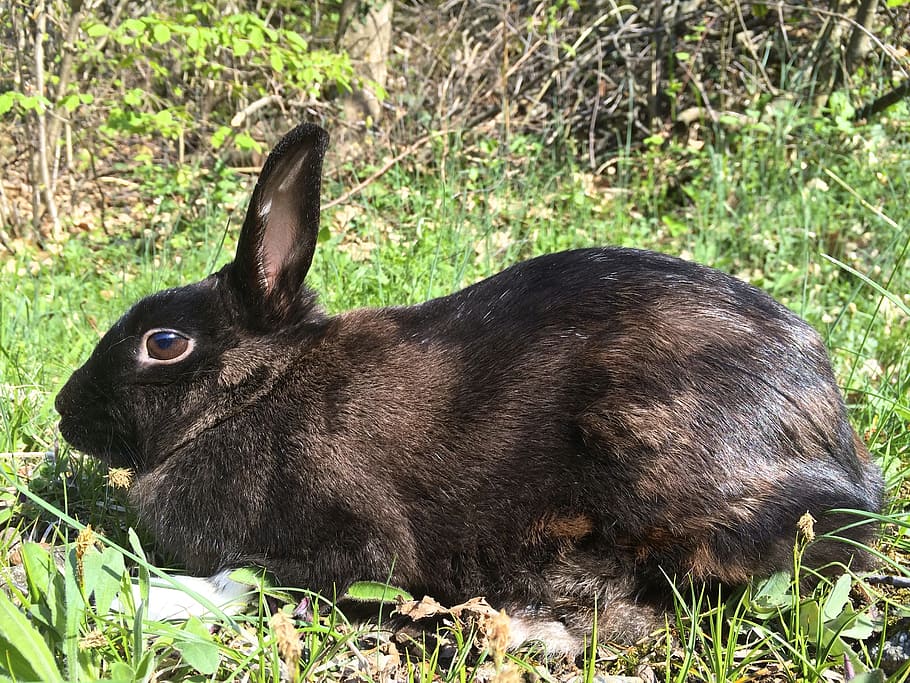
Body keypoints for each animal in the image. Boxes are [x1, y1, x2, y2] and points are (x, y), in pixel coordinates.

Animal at [56, 122, 884, 654]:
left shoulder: (351, 540)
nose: (65, 413)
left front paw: (140, 594)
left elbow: (242, 578)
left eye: (164, 343)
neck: (258, 391)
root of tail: (834, 453)